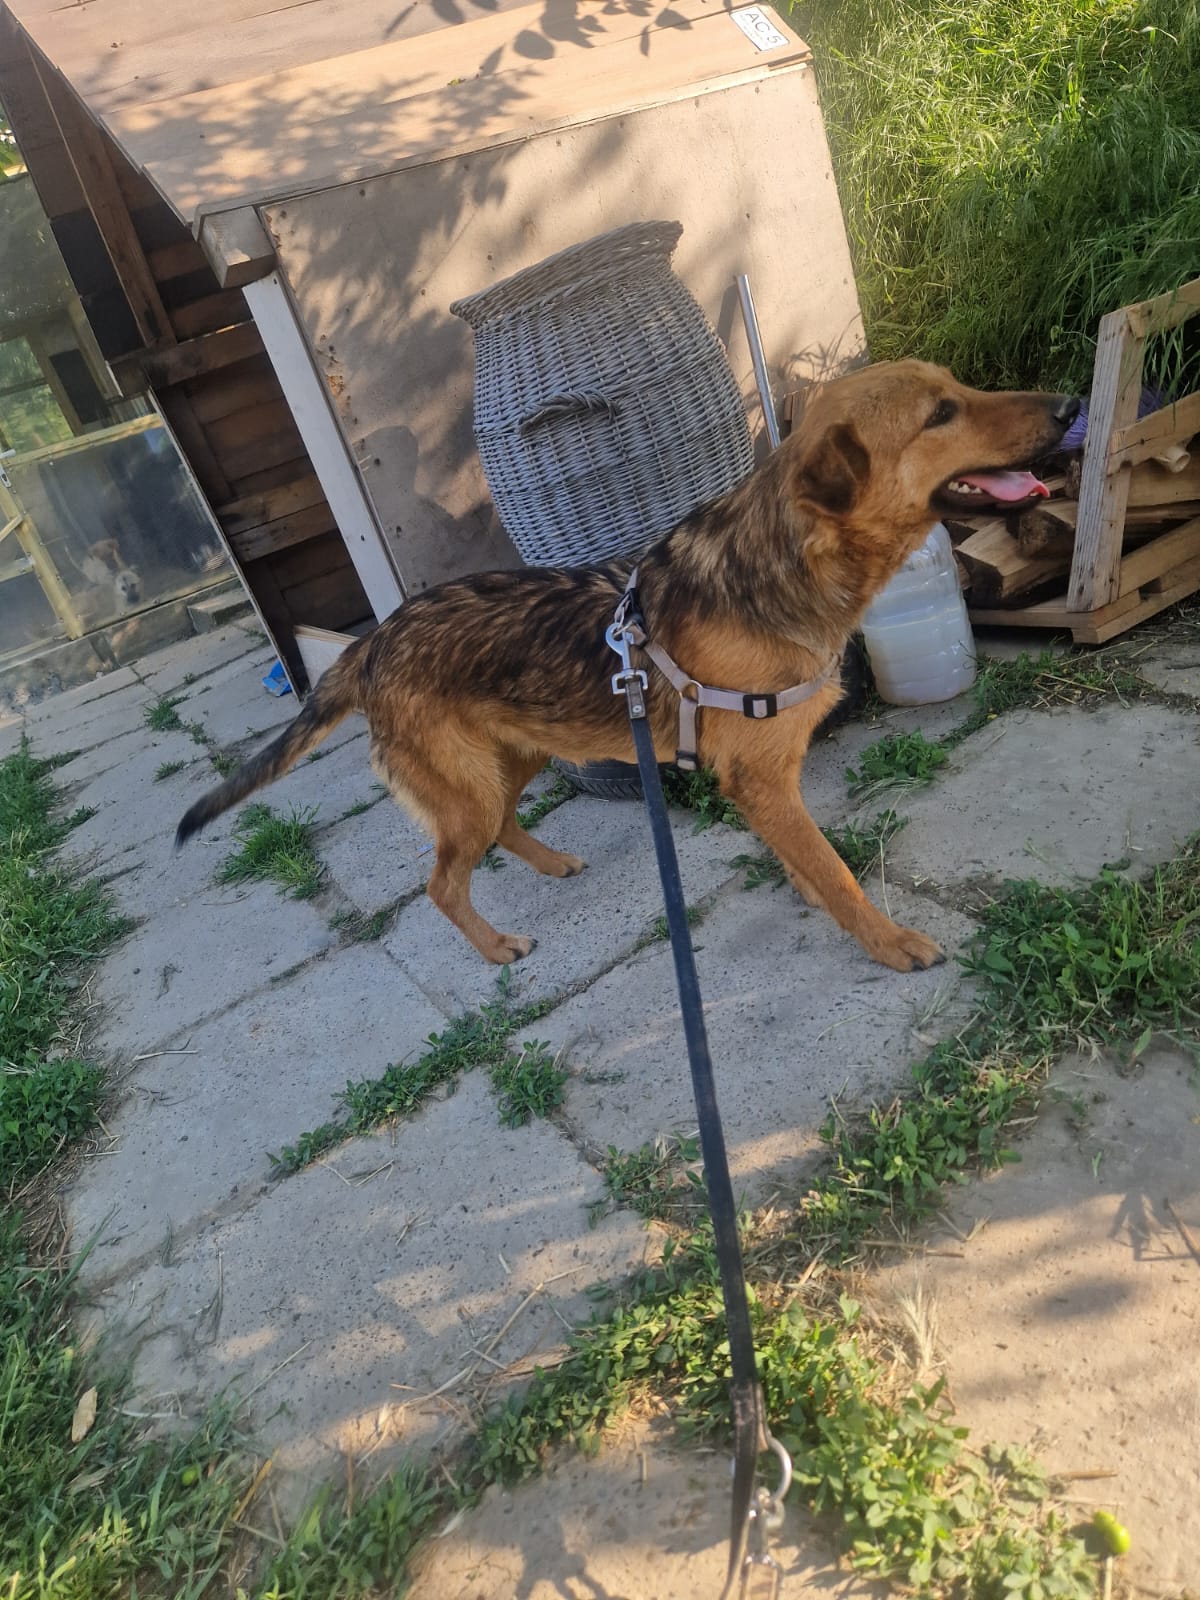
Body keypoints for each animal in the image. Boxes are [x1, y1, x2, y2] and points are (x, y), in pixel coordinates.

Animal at [177, 361, 1078, 972]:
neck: (779, 564)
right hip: (467, 786)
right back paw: (496, 947)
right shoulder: (758, 777)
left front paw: (814, 896)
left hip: (516, 756)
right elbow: (836, 870)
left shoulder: (764, 782)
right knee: (443, 881)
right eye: (942, 413)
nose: (1070, 404)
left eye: (956, 388)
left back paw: (552, 863)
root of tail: (370, 643)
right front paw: (886, 941)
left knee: (498, 829)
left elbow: (806, 860)